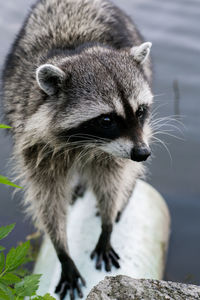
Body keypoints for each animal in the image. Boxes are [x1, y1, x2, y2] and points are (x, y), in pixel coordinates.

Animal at [1, 0, 153, 298]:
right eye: (106, 120)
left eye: (140, 111)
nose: (142, 154)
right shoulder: (33, 142)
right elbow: (47, 198)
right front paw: (62, 249)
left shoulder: (123, 146)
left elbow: (112, 179)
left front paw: (107, 224)